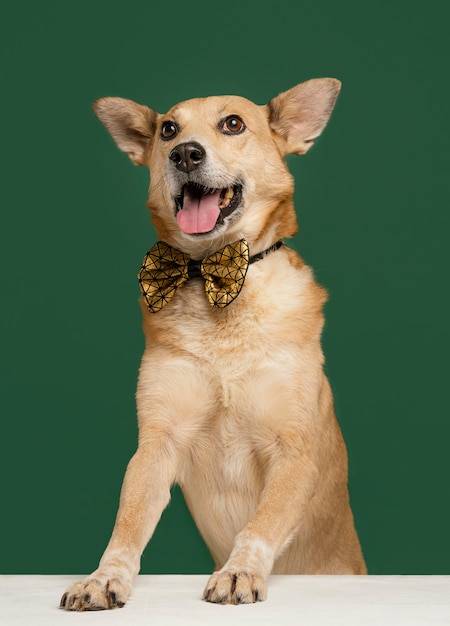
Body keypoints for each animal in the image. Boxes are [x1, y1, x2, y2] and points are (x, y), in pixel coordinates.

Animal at [60, 78, 366, 608]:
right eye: (167, 129)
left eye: (233, 123)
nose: (184, 153)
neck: (213, 278)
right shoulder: (156, 444)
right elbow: (128, 523)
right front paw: (103, 577)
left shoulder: (294, 452)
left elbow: (262, 522)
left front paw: (239, 571)